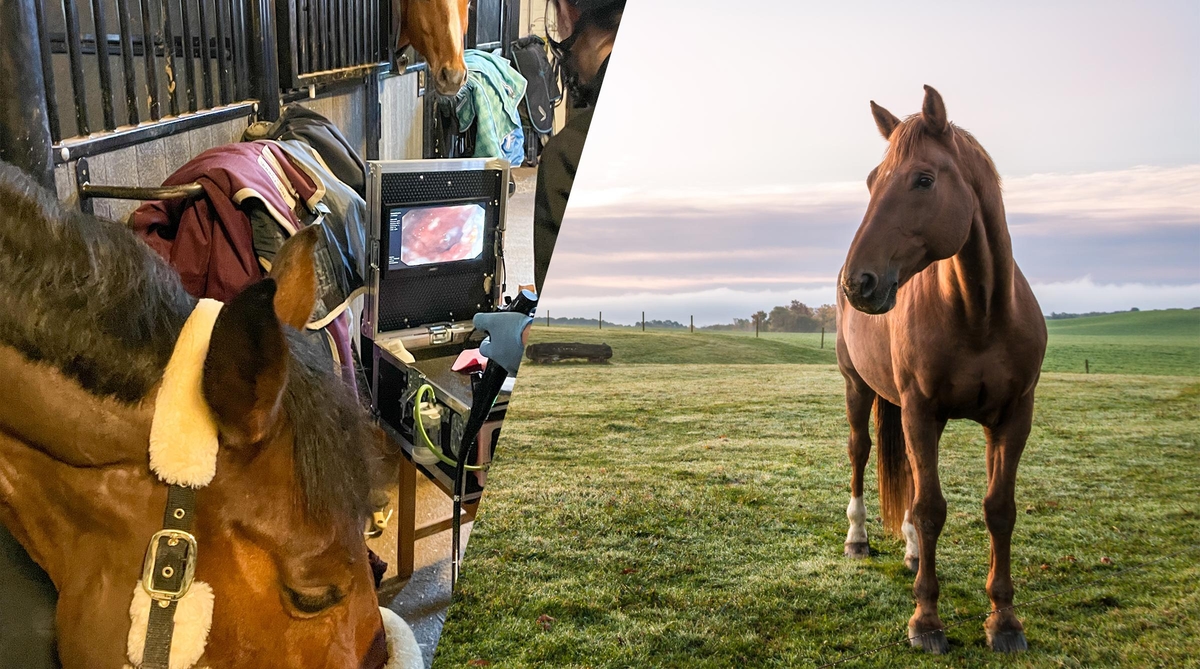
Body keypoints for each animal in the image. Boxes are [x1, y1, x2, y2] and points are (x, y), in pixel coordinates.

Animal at [840, 86, 1046, 657]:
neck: (979, 313)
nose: (857, 283)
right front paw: (926, 620)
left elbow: (999, 509)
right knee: (861, 453)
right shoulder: (920, 410)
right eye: (872, 180)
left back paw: (911, 552)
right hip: (857, 387)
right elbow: (931, 509)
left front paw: (1005, 621)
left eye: (924, 179)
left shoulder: (1013, 417)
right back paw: (858, 539)